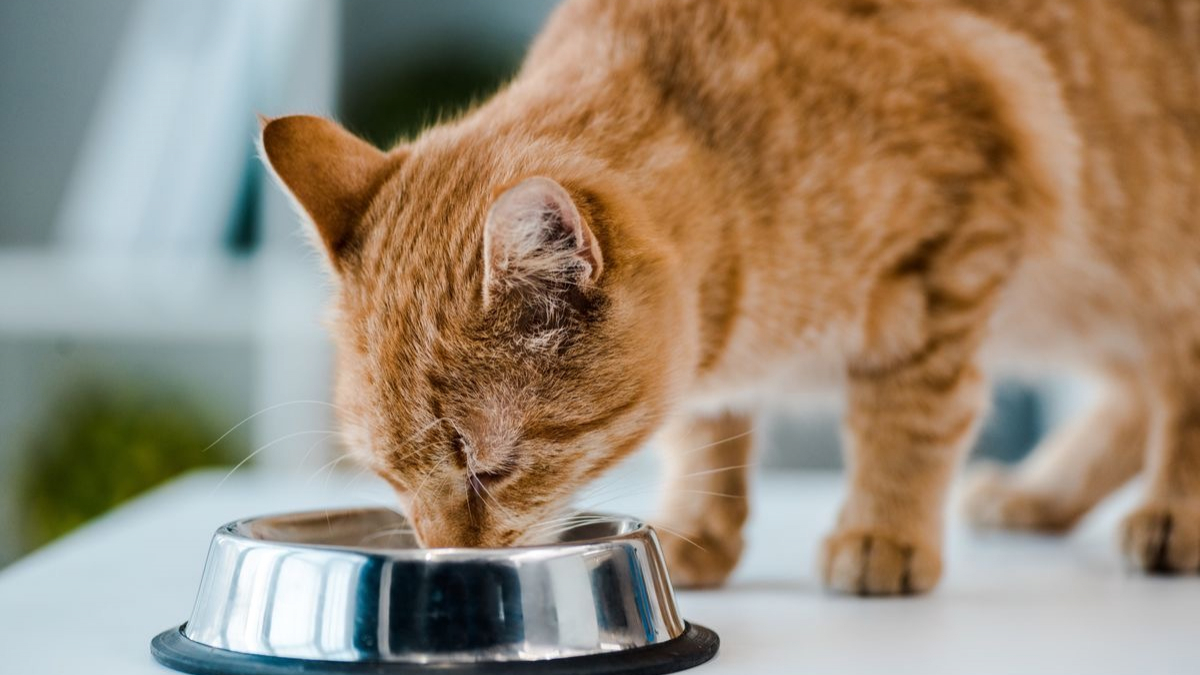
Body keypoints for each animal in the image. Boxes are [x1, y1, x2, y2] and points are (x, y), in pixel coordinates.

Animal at [262, 0, 1200, 590]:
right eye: (387, 475)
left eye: (487, 468)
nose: (449, 559)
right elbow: (704, 429)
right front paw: (696, 528)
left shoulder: (953, 253)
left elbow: (907, 417)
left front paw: (884, 529)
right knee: (1133, 393)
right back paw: (1040, 493)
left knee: (1173, 384)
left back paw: (1170, 513)